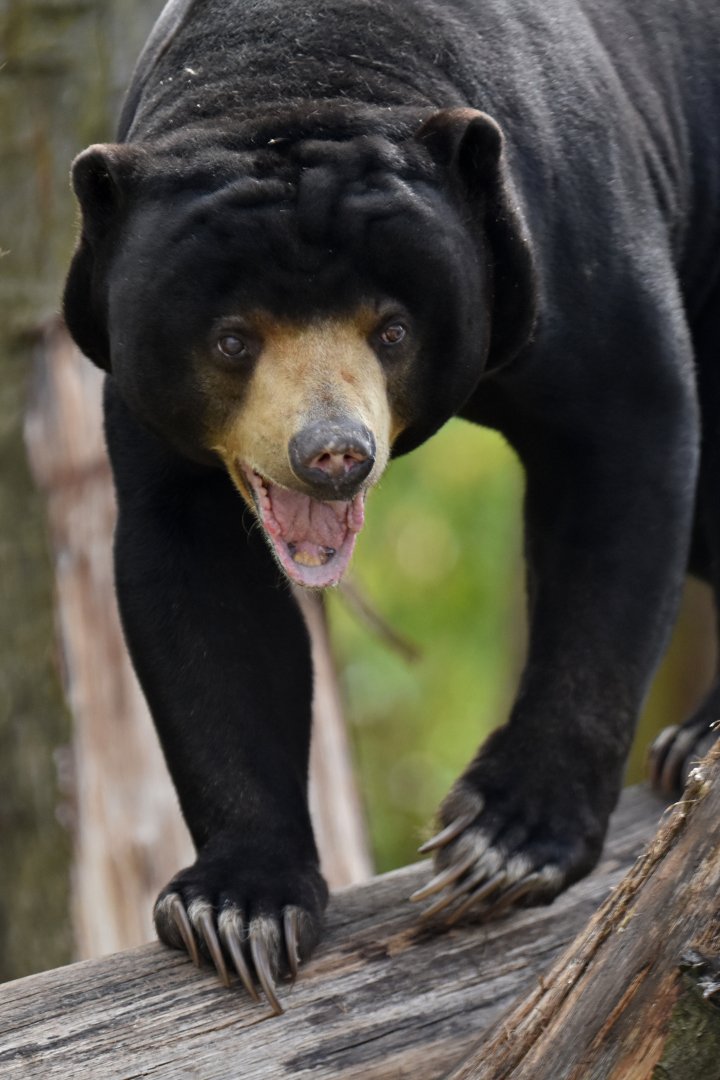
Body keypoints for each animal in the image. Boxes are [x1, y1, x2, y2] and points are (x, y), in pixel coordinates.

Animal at [63, 0, 720, 1013]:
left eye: (393, 329)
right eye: (231, 340)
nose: (334, 455)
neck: (299, 79)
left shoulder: (570, 226)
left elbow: (624, 445)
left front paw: (497, 848)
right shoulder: (137, 380)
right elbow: (199, 573)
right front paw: (237, 914)